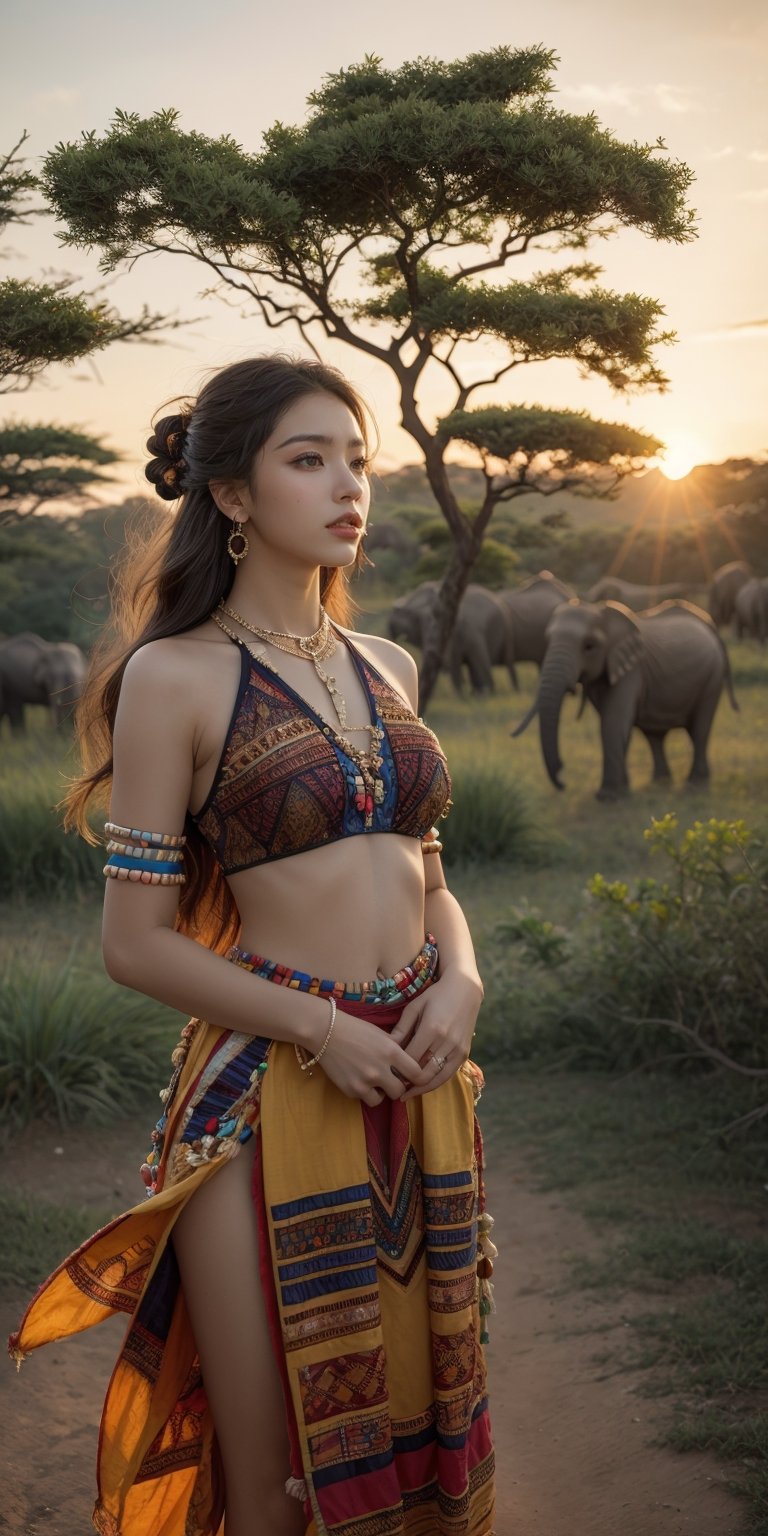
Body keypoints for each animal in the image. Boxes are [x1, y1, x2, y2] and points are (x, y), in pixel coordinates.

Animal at [509, 595, 737, 798]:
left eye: (589, 646)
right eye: (547, 641)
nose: (562, 776)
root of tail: (709, 623)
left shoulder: (631, 670)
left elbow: (614, 721)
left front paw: (607, 797)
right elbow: (616, 722)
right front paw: (623, 792)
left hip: (712, 677)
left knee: (700, 727)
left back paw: (695, 784)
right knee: (655, 734)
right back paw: (660, 783)